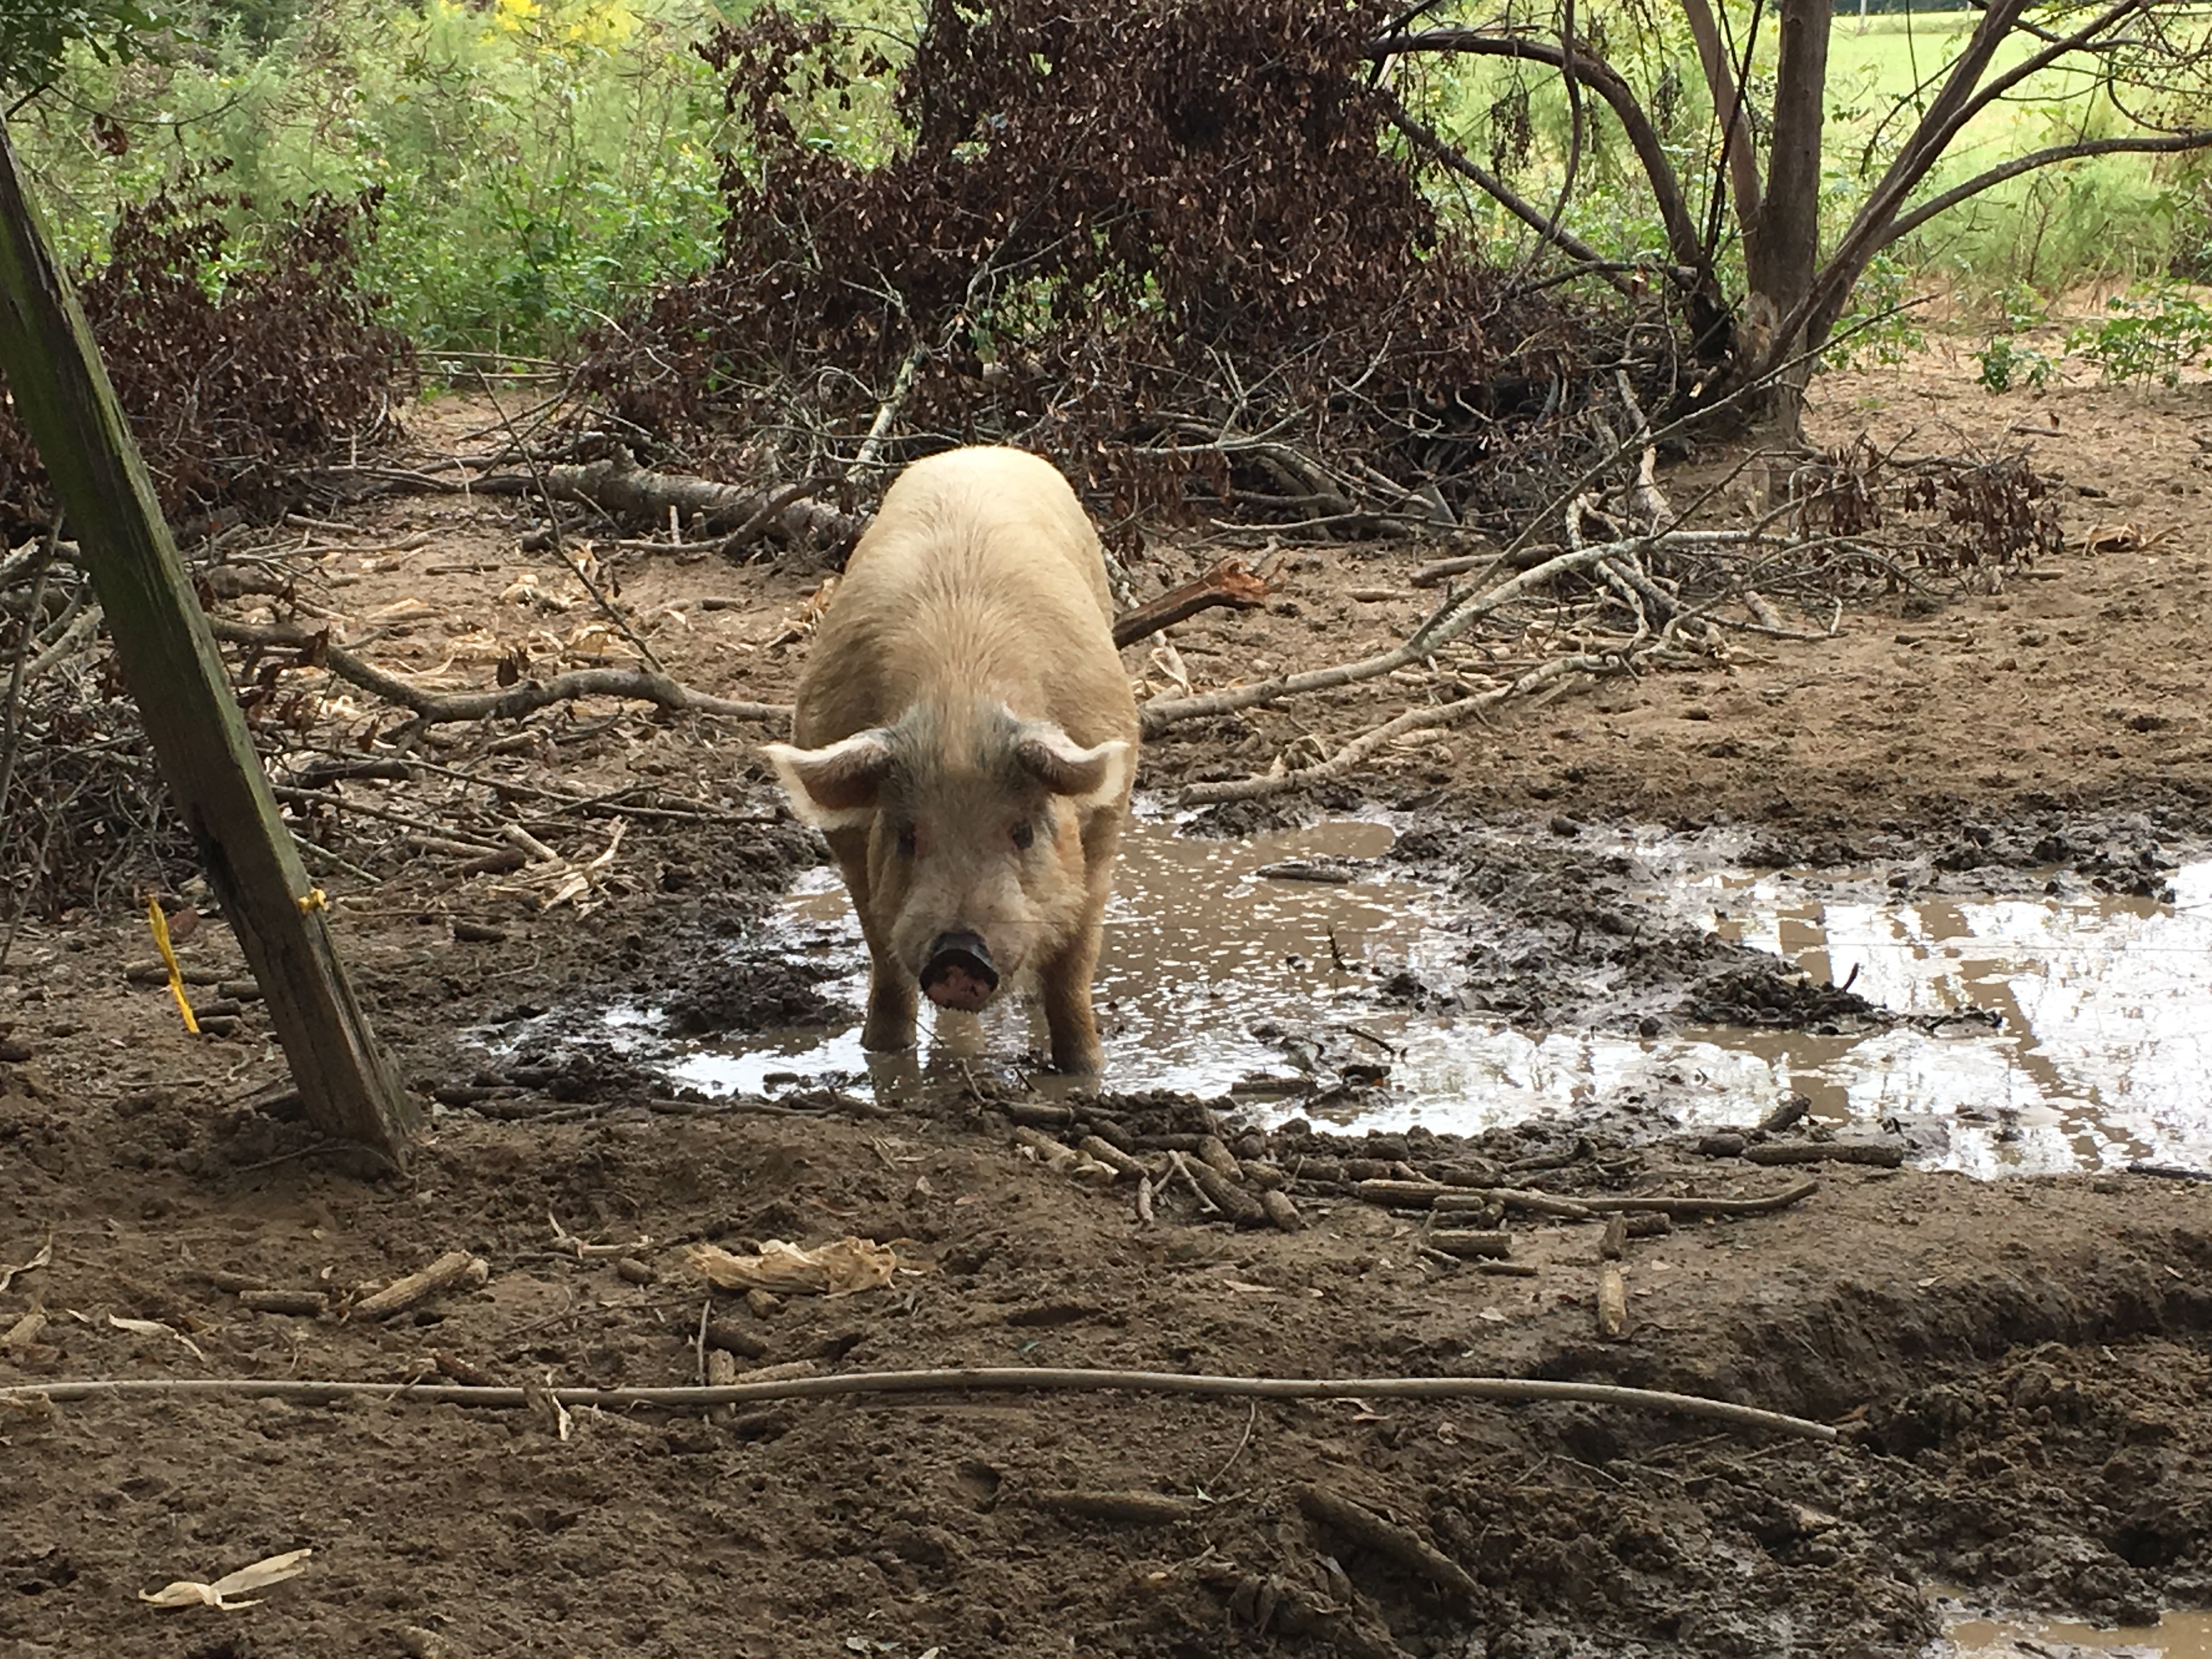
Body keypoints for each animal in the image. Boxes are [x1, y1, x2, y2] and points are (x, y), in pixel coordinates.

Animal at [762, 446, 1140, 1072]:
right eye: (907, 836)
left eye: (1021, 832)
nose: (958, 957)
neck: (958, 702)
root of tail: (978, 451)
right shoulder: (854, 849)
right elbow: (885, 953)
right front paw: (882, 1054)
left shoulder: (1106, 818)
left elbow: (1073, 968)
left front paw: (1086, 1071)